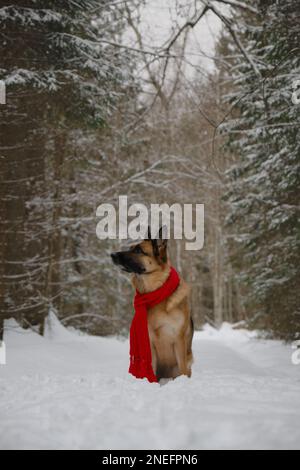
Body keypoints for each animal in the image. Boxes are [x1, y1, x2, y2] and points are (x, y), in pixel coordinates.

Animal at [111, 229, 193, 382]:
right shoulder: (150, 344)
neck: (155, 293)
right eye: (131, 248)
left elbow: (183, 370)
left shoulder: (179, 340)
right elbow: (150, 370)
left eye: (138, 250)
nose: (112, 255)